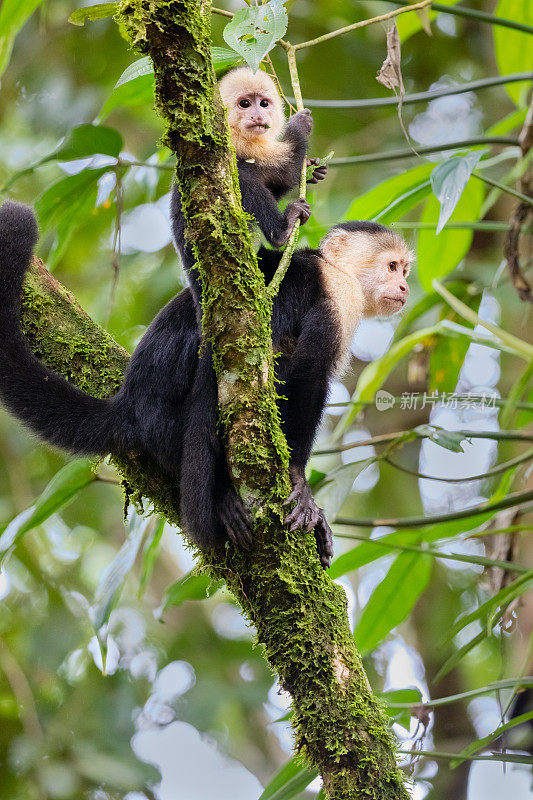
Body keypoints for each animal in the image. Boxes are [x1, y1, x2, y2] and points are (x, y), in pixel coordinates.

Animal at [0, 203, 412, 572]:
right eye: (391, 267)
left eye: (405, 270)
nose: (405, 286)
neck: (337, 271)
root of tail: (131, 403)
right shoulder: (336, 298)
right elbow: (308, 372)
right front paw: (299, 480)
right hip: (170, 415)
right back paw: (222, 498)